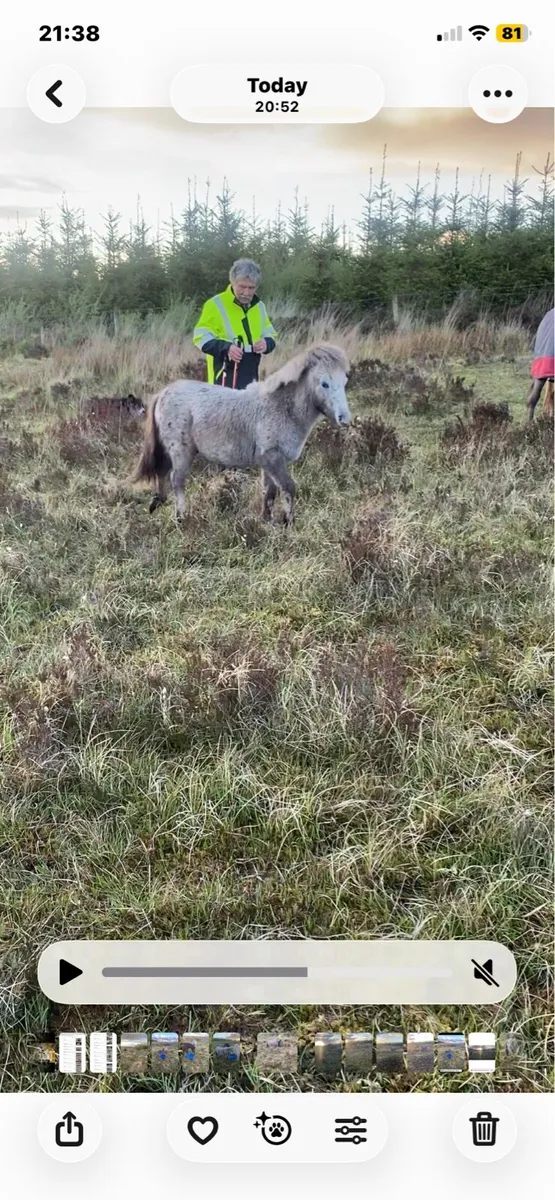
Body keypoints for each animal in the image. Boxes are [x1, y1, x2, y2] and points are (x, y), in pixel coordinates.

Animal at [131, 343, 350, 523]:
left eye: (345, 381)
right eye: (324, 383)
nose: (344, 418)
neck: (281, 407)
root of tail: (164, 392)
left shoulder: (268, 463)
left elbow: (269, 491)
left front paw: (266, 520)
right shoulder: (272, 458)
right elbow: (288, 487)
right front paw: (288, 522)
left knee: (161, 471)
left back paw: (158, 502)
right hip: (180, 450)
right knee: (176, 479)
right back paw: (181, 517)